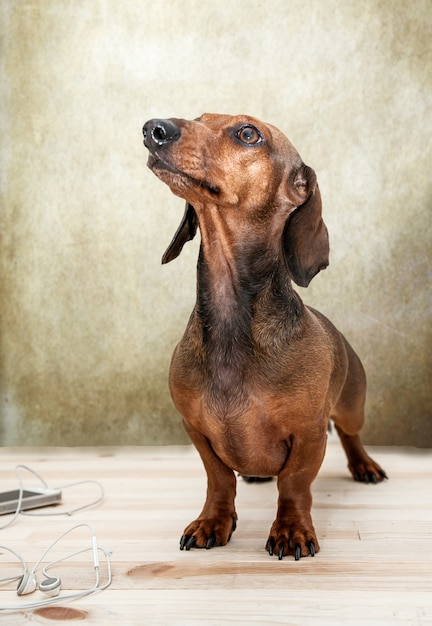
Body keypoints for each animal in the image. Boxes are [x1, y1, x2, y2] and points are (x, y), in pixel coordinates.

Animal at [143, 114, 388, 560]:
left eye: (248, 133)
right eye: (200, 118)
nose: (154, 128)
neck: (231, 319)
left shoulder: (308, 434)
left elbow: (294, 484)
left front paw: (291, 529)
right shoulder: (196, 430)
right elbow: (219, 479)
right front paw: (213, 521)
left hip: (351, 406)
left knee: (350, 434)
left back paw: (364, 465)